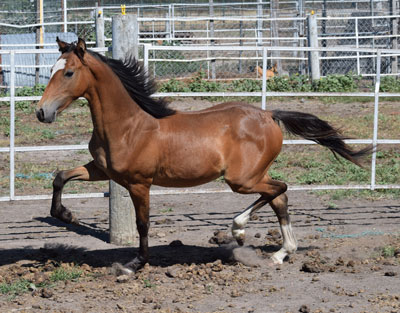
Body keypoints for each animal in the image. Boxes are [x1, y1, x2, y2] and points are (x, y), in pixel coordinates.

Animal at [36, 37, 370, 272]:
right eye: (51, 70)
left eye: (68, 73)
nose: (42, 112)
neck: (129, 125)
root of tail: (269, 115)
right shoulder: (103, 170)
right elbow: (60, 177)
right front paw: (66, 215)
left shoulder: (139, 183)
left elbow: (143, 224)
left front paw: (135, 264)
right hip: (253, 175)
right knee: (279, 197)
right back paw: (279, 253)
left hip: (242, 180)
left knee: (280, 189)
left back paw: (240, 230)